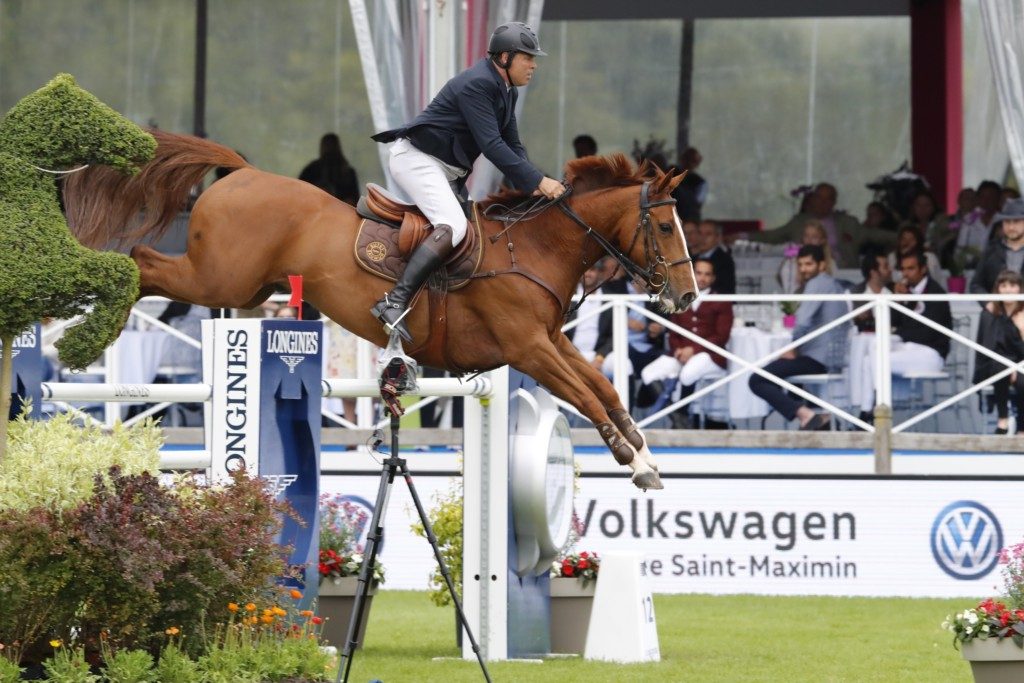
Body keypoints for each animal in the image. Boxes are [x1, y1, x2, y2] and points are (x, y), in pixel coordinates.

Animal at [64, 129, 700, 491]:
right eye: (668, 226)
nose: (688, 297)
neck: (535, 247)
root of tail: (241, 171)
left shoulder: (551, 341)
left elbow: (604, 387)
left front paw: (644, 454)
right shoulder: (528, 349)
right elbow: (586, 395)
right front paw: (633, 461)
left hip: (244, 290)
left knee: (148, 264)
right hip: (220, 277)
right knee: (141, 261)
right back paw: (88, 334)